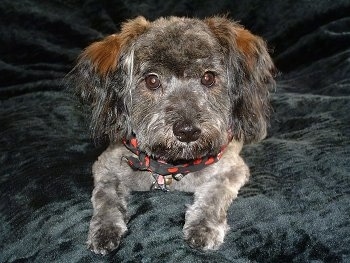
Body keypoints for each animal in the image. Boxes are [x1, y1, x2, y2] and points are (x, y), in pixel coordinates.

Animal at [72, 16, 276, 256]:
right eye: (152, 80)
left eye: (208, 77)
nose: (187, 131)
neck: (170, 167)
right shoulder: (105, 166)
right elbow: (106, 196)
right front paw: (104, 229)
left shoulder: (232, 169)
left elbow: (214, 194)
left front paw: (203, 226)